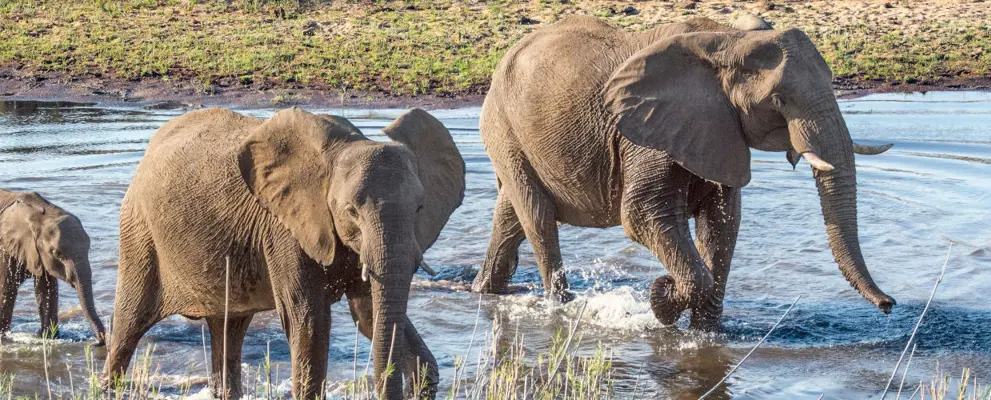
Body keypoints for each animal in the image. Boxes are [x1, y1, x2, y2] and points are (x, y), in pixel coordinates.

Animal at [0, 190, 106, 344]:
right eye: (57, 253)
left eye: (88, 249)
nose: (102, 339)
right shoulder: (5, 249)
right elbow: (6, 288)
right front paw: (3, 337)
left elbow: (46, 289)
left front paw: (47, 336)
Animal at [102, 108, 466, 398]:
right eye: (350, 211)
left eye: (419, 208)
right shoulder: (284, 230)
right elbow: (309, 321)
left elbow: (368, 314)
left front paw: (423, 377)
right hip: (139, 232)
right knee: (128, 324)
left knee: (227, 330)